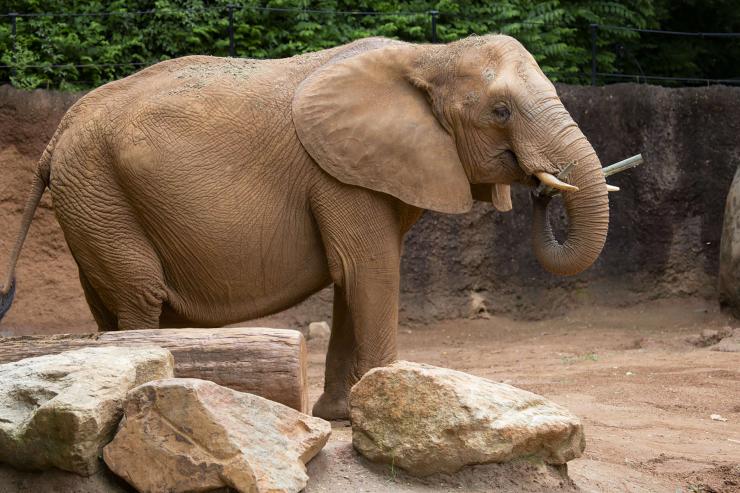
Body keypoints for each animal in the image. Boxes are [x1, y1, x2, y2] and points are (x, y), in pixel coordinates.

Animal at [1, 35, 608, 418]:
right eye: (501, 111)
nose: (543, 188)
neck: (429, 56)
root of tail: (57, 135)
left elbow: (350, 280)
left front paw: (339, 414)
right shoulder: (339, 171)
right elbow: (370, 272)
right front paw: (383, 408)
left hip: (90, 201)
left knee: (109, 305)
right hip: (98, 191)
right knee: (140, 295)